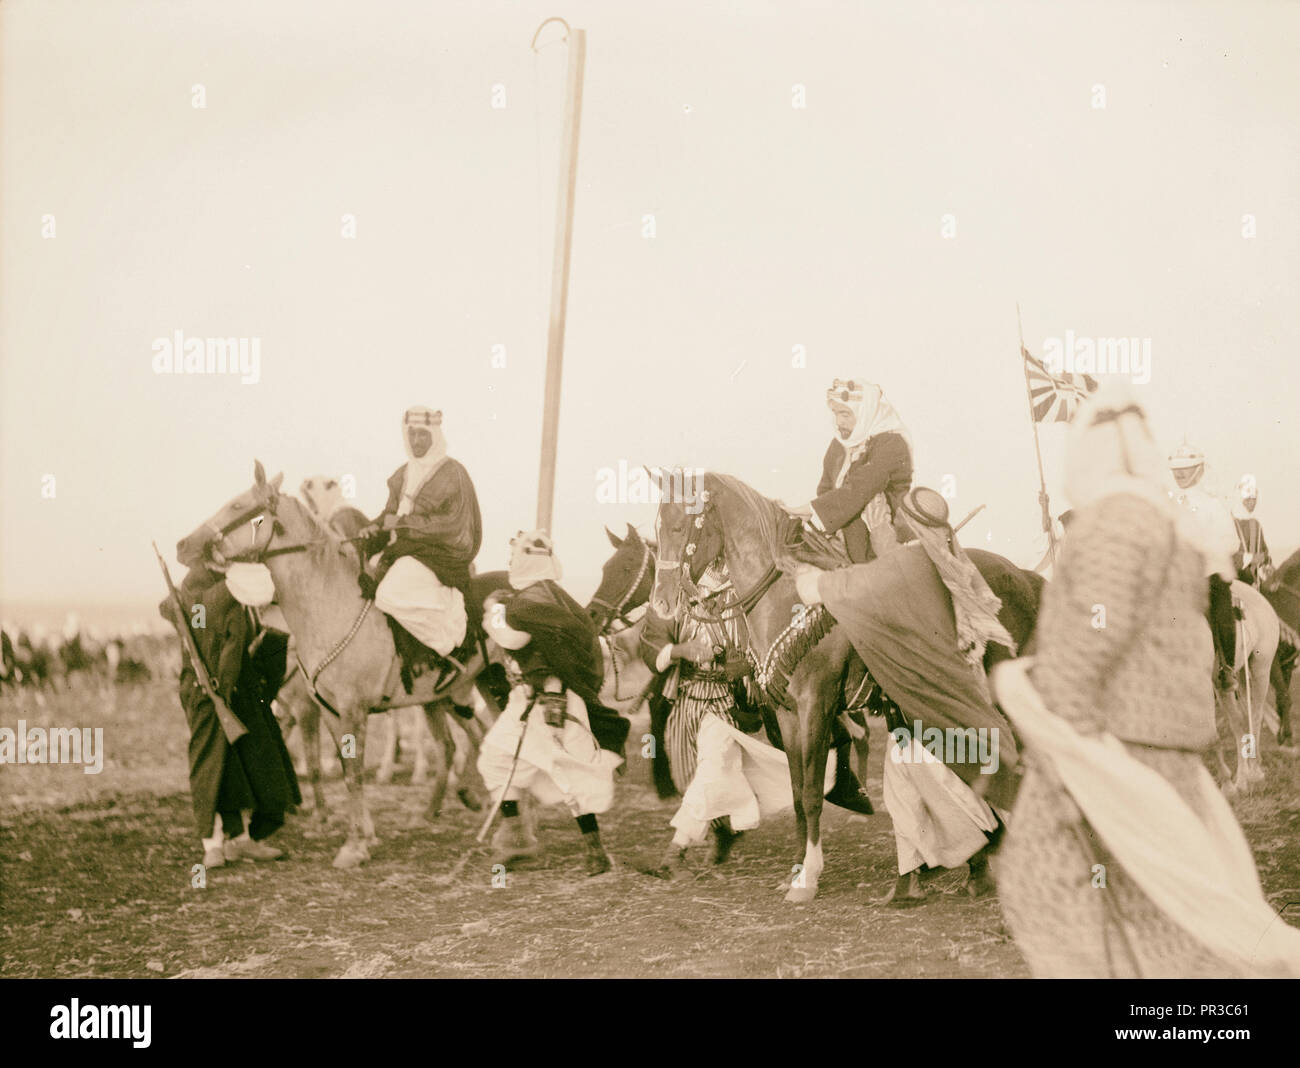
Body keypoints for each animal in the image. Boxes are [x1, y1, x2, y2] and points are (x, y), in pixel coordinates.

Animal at [180, 459, 504, 867]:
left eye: (238, 506)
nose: (184, 545)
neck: (330, 606)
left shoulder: (350, 710)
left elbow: (352, 774)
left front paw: (353, 845)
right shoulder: (330, 712)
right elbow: (345, 771)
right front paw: (361, 835)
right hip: (465, 691)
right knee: (463, 743)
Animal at [650, 472, 1045, 899]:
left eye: (680, 526)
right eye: (657, 528)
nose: (660, 603)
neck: (787, 597)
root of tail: (1024, 576)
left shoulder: (815, 705)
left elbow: (811, 793)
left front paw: (807, 878)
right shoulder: (788, 714)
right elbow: (796, 791)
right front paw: (797, 869)